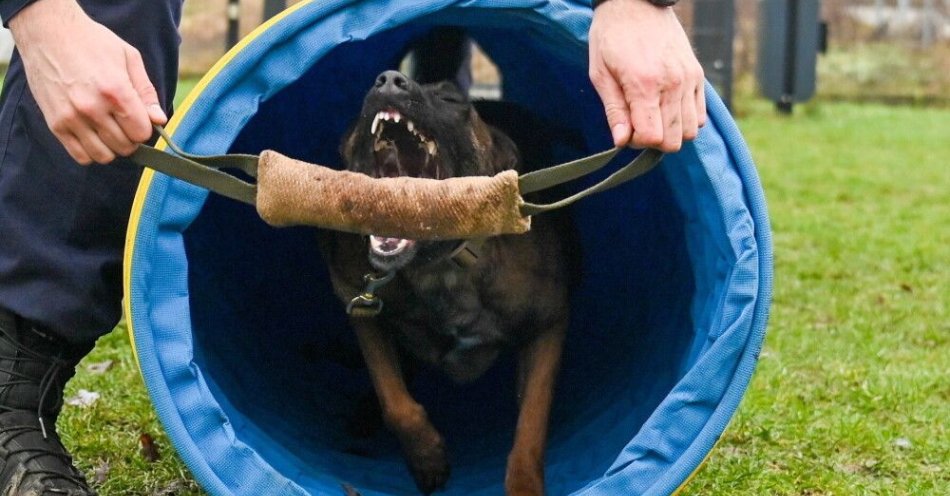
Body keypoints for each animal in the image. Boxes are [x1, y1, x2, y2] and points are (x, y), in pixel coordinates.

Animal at [324, 71, 580, 494]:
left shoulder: (548, 327)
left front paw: (524, 484)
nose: (390, 80)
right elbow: (394, 399)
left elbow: (531, 427)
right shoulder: (361, 306)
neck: (440, 267)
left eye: (451, 99)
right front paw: (426, 454)